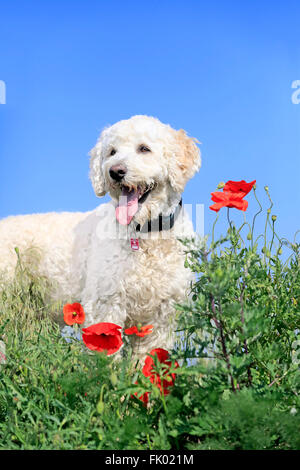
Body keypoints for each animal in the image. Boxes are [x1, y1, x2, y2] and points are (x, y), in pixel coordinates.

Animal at [1, 115, 202, 358]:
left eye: (144, 149)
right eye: (112, 152)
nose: (115, 171)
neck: (145, 232)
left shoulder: (163, 315)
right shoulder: (105, 303)